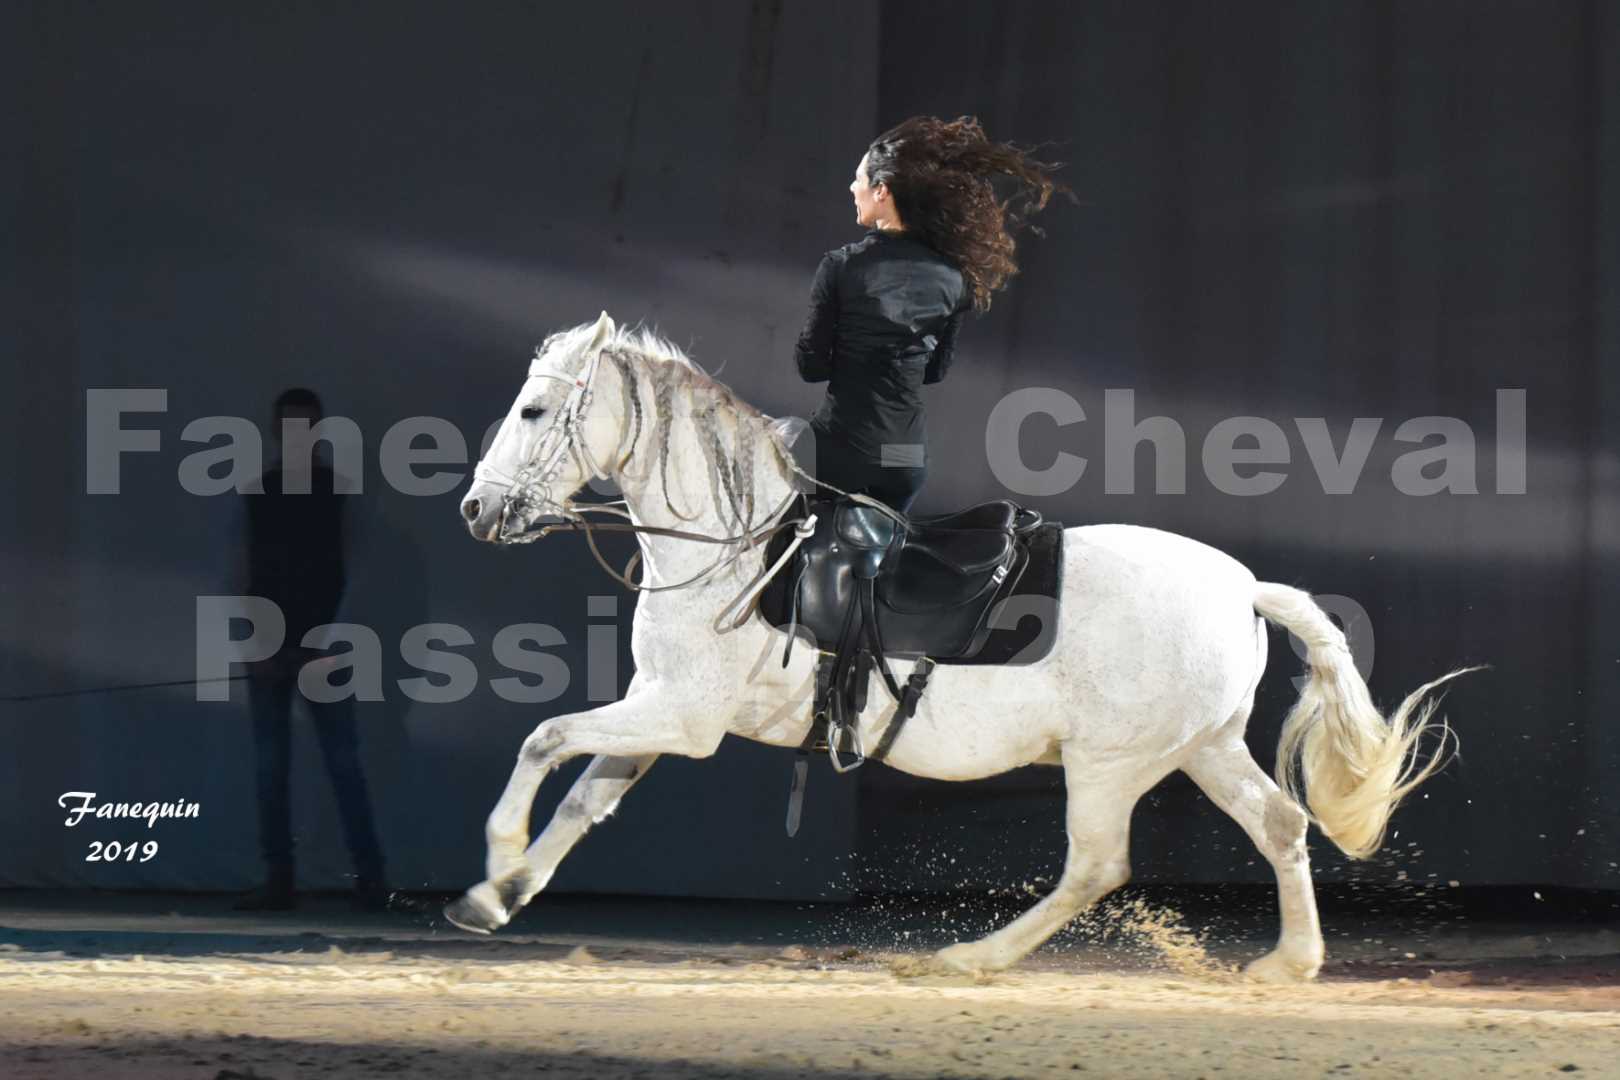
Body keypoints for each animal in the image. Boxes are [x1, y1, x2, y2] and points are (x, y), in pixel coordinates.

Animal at [447, 310, 1483, 977]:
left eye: (534, 411)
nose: (478, 512)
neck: (739, 545)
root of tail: (1240, 587)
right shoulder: (662, 714)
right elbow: (586, 797)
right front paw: (499, 894)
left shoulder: (681, 717)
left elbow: (542, 740)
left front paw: (494, 860)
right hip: (1202, 747)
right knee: (1280, 823)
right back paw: (1289, 964)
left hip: (1112, 762)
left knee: (1098, 864)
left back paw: (971, 957)